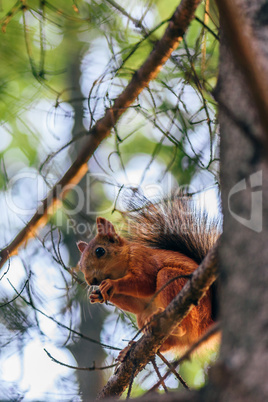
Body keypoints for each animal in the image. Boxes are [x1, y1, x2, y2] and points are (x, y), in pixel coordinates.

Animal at [77, 195, 220, 354]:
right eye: (80, 265)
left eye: (100, 251)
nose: (90, 281)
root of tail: (205, 326)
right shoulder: (139, 305)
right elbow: (136, 305)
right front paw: (98, 295)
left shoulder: (143, 259)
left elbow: (146, 282)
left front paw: (112, 284)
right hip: (143, 318)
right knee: (167, 344)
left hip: (175, 283)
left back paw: (176, 326)